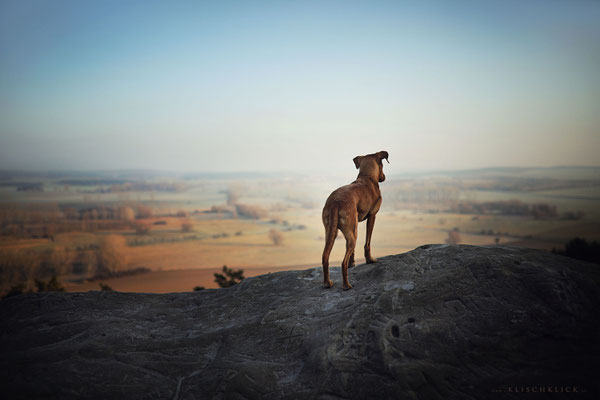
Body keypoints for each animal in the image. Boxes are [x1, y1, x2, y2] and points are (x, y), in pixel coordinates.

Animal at [324, 152, 390, 290]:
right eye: (382, 164)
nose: (384, 177)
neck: (367, 177)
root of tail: (335, 202)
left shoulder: (354, 227)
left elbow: (352, 252)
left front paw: (352, 263)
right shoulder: (372, 216)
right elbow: (367, 242)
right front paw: (370, 260)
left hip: (332, 233)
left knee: (325, 257)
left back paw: (327, 283)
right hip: (350, 233)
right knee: (342, 263)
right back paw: (346, 285)